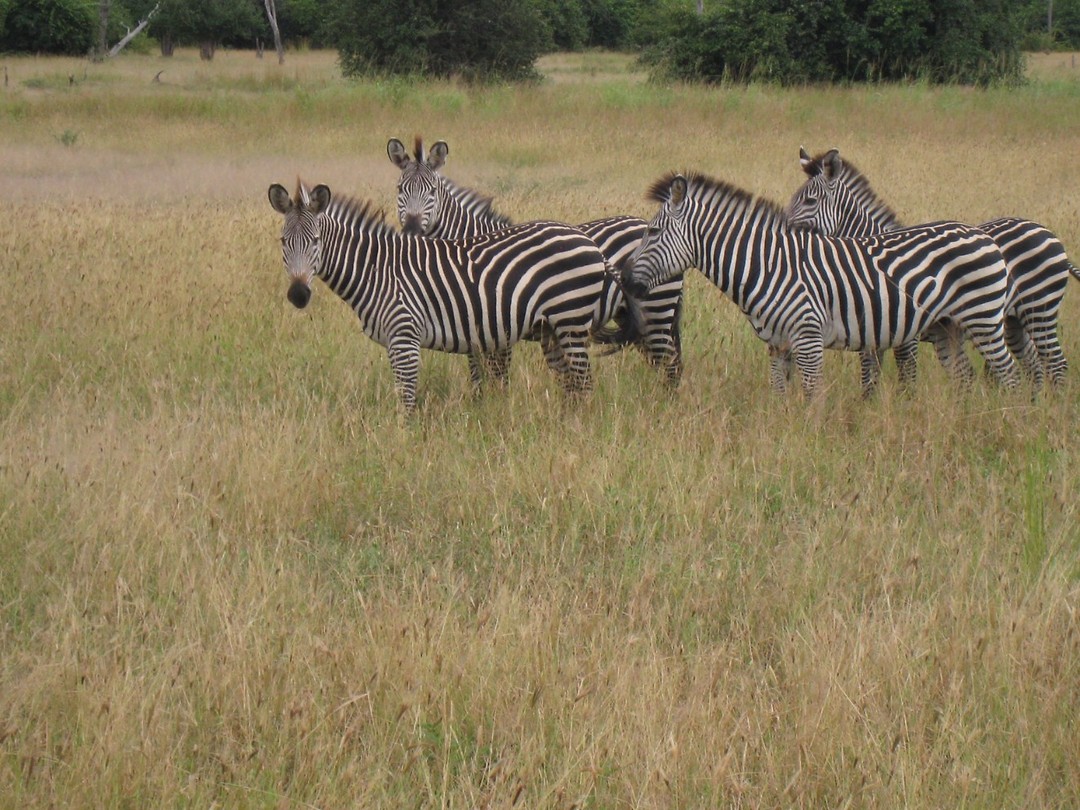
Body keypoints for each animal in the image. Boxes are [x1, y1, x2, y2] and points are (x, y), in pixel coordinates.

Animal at [269, 180, 638, 412]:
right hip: (553, 327)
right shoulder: (394, 341)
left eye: (316, 241)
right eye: (284, 242)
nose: (298, 294)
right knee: (571, 384)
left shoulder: (405, 337)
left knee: (584, 383)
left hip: (570, 320)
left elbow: (407, 399)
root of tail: (586, 240)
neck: (376, 270)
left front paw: (405, 446)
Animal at [387, 136, 683, 383]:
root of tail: (644, 222)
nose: (411, 229)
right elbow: (478, 375)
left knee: (668, 361)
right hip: (632, 315)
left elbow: (497, 376)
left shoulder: (496, 325)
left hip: (656, 307)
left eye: (431, 192)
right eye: (400, 190)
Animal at [619, 171, 1021, 397]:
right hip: (947, 328)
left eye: (652, 232)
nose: (622, 279)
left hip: (984, 321)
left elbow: (813, 398)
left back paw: (1013, 426)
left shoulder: (808, 339)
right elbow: (780, 398)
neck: (768, 267)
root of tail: (982, 235)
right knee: (965, 379)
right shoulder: (778, 345)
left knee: (1010, 374)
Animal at [787, 147, 1079, 388]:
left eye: (809, 201)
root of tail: (1045, 231)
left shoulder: (907, 336)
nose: (784, 227)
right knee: (1034, 365)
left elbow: (907, 377)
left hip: (1039, 310)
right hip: (1014, 321)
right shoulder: (869, 331)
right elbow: (869, 380)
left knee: (1056, 363)